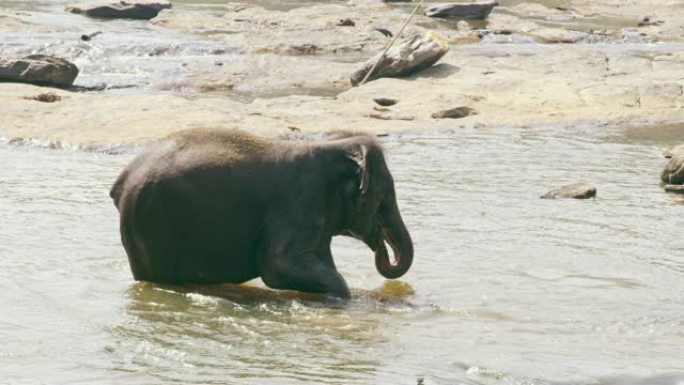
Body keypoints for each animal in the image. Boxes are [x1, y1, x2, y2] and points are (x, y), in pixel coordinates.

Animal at [109, 127, 414, 298]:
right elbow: (278, 265)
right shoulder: (300, 201)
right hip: (154, 224)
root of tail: (123, 181)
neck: (333, 148)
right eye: (384, 199)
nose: (380, 247)